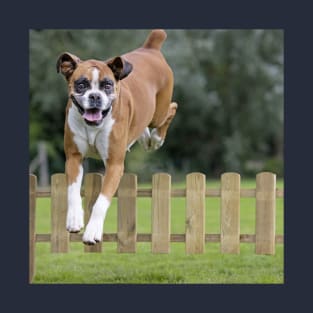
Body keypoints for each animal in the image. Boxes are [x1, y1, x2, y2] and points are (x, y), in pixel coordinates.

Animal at [56, 29, 177, 244]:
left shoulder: (114, 165)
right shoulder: (73, 158)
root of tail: (150, 49)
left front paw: (92, 231)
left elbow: (101, 201)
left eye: (107, 85)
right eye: (81, 85)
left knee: (172, 108)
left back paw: (156, 138)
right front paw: (74, 219)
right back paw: (144, 136)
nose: (95, 96)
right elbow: (72, 191)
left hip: (159, 112)